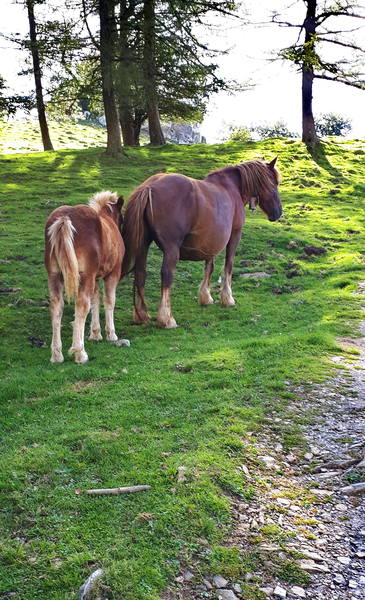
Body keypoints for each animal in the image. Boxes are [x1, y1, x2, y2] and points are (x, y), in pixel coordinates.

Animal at [44, 192, 124, 364]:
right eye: (122, 217)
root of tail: (65, 217)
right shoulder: (113, 273)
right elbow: (109, 300)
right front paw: (111, 334)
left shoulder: (95, 277)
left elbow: (96, 300)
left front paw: (95, 333)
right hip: (85, 276)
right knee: (81, 305)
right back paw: (80, 353)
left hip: (54, 275)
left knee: (56, 307)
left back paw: (57, 355)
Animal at [122, 158, 282, 328]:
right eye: (275, 183)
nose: (279, 212)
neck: (232, 188)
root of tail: (149, 187)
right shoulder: (235, 235)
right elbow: (228, 266)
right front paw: (227, 298)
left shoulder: (211, 241)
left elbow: (209, 267)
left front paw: (205, 297)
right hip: (171, 249)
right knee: (166, 274)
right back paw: (166, 319)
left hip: (143, 244)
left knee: (140, 273)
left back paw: (142, 315)